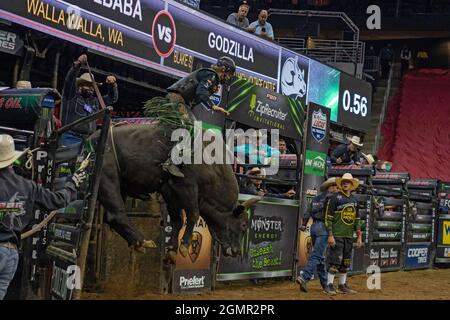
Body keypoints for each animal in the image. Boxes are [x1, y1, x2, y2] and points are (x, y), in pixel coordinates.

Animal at [92, 124, 260, 258]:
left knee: (110, 217)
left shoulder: (170, 192)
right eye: (243, 225)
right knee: (116, 215)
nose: (237, 251)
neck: (212, 167)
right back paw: (142, 241)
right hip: (107, 180)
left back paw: (137, 243)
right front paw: (184, 245)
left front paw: (172, 250)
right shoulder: (186, 187)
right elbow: (193, 215)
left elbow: (177, 220)